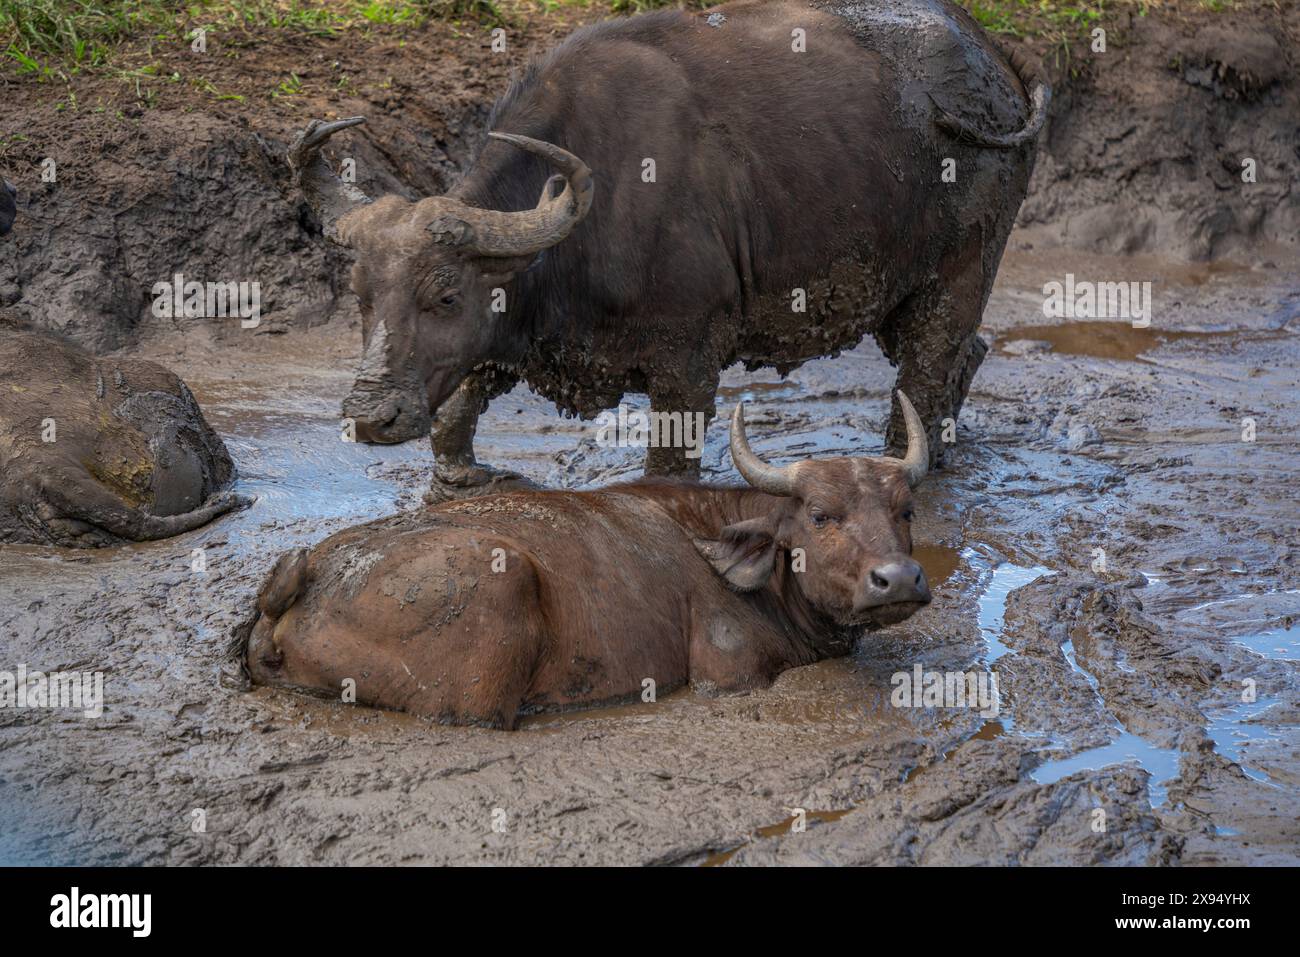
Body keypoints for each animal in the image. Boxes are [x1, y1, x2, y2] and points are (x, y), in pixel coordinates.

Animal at [241, 392, 935, 728]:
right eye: (820, 515)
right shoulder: (728, 674)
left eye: (906, 511)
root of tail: (308, 578)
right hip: (492, 615)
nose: (897, 579)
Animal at [287, 0, 1045, 496]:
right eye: (362, 296)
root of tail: (996, 55)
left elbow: (669, 465)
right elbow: (453, 418)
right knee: (966, 351)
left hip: (959, 271)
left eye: (445, 295)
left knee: (929, 366)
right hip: (897, 290)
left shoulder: (687, 361)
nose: (370, 417)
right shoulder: (507, 342)